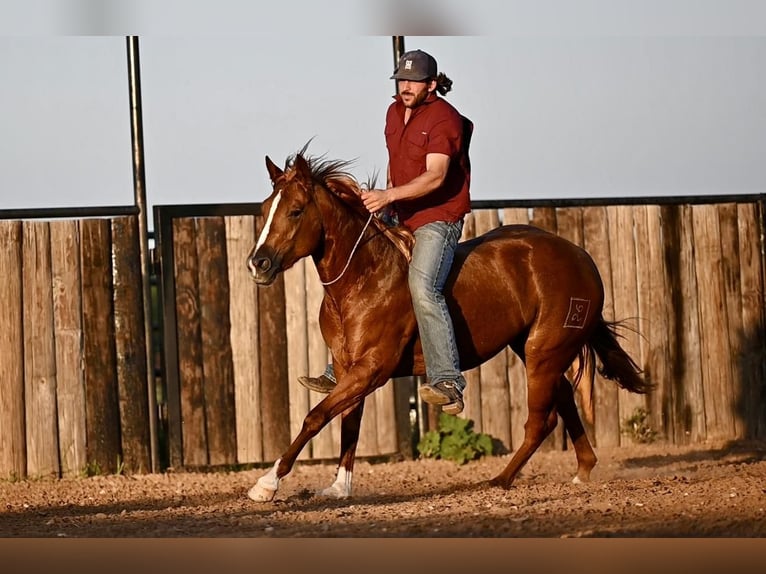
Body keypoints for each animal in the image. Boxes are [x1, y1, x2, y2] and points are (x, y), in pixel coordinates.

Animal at [248, 151, 656, 502]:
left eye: (295, 211)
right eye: (265, 209)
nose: (258, 263)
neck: (364, 278)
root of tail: (581, 257)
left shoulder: (371, 370)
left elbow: (316, 417)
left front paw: (267, 484)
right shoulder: (349, 369)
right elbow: (349, 425)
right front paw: (338, 488)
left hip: (544, 352)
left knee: (541, 420)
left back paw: (500, 479)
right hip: (535, 351)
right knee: (566, 401)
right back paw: (583, 470)